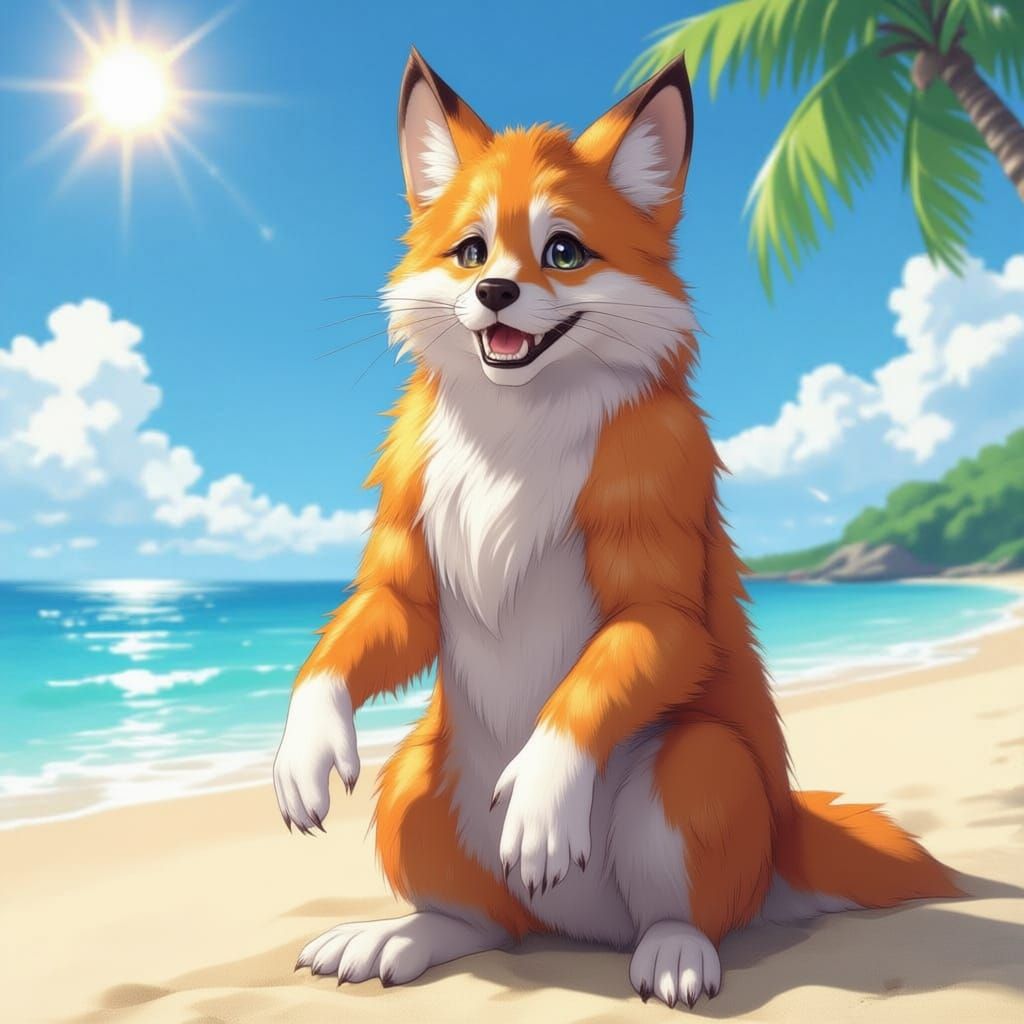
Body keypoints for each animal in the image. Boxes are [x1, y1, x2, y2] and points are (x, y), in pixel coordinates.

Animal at [273, 49, 959, 1009]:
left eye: (563, 252)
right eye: (471, 251)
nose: (494, 292)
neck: (516, 438)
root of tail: (582, 932)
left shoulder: (661, 602)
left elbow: (584, 695)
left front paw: (541, 798)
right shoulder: (407, 573)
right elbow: (340, 652)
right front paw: (304, 746)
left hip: (693, 769)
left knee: (687, 913)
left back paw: (674, 953)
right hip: (413, 783)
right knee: (484, 923)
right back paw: (401, 937)